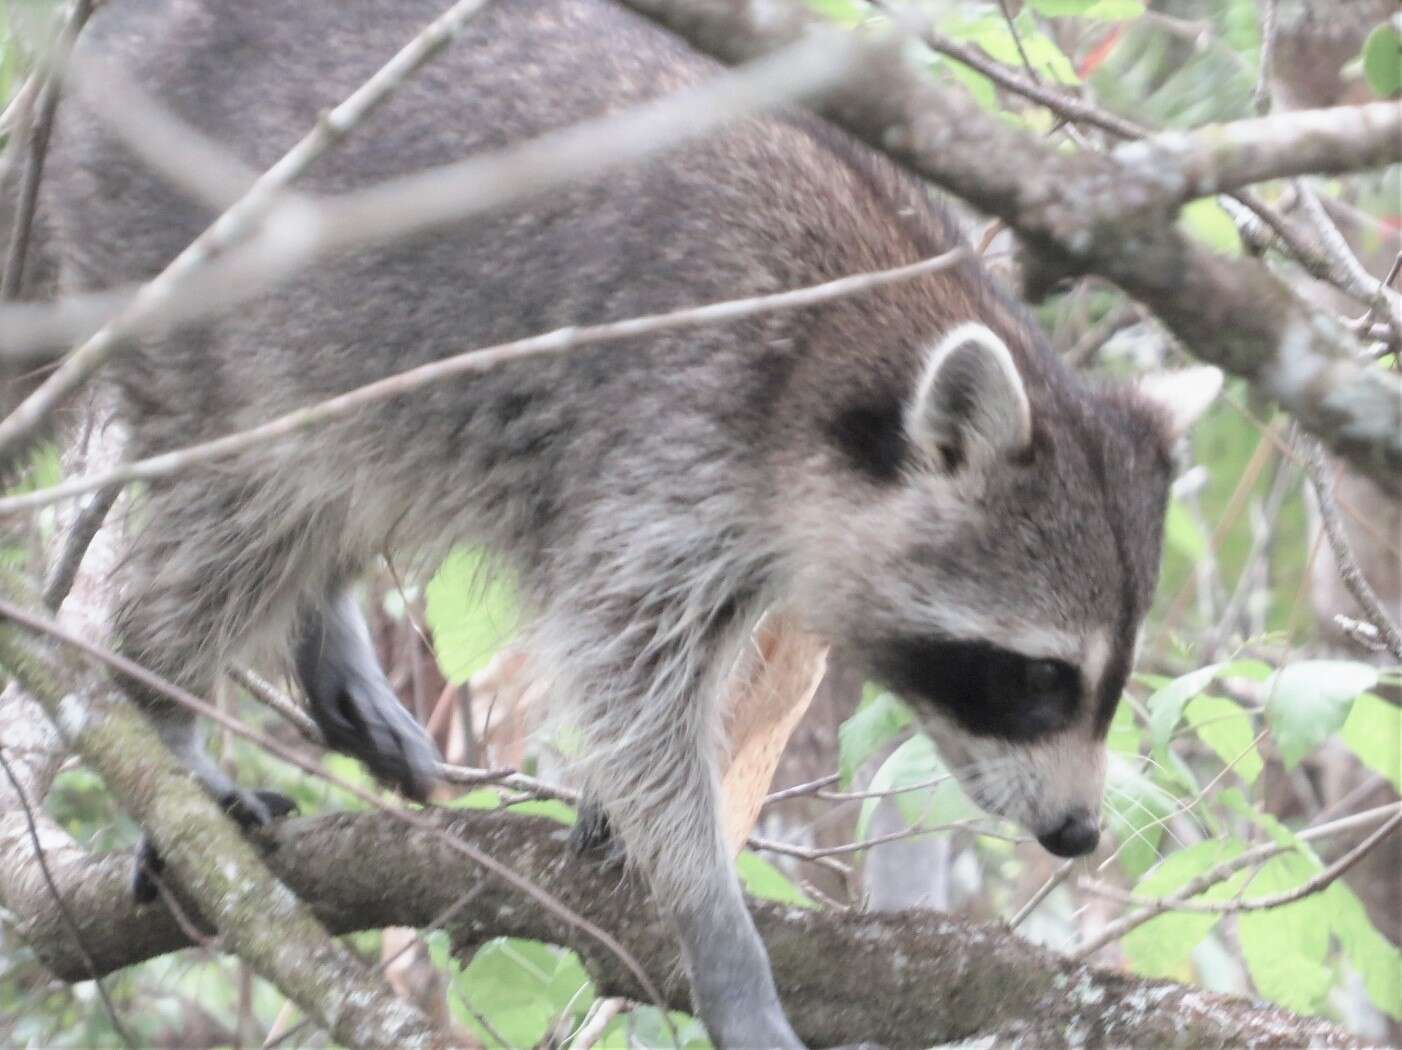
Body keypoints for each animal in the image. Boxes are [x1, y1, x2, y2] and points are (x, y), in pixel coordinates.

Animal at [32, 4, 1216, 1042]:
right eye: (1037, 679)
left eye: (1108, 681)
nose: (1076, 833)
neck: (847, 346)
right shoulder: (671, 427)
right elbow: (624, 665)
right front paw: (710, 913)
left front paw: (620, 804)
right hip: (181, 267)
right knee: (240, 497)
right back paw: (162, 707)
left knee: (330, 480)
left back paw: (320, 626)